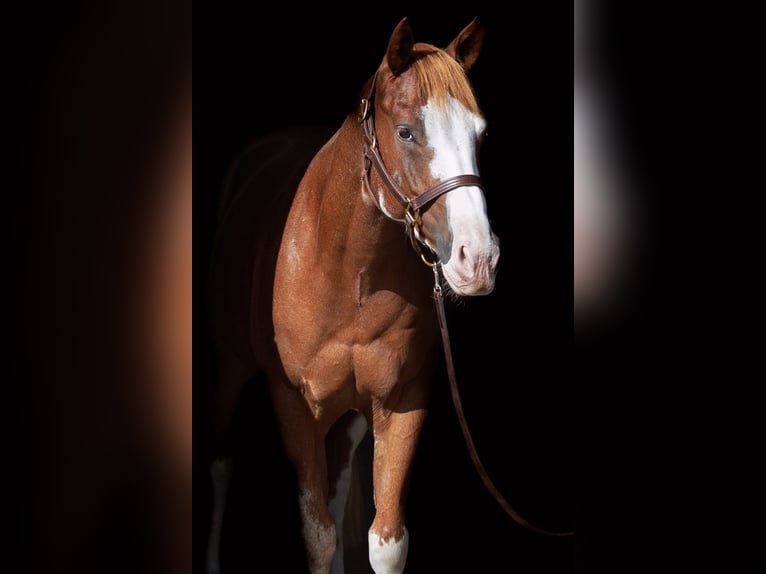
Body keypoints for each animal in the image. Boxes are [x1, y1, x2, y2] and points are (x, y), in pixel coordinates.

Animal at [206, 17, 500, 573]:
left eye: (480, 134)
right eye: (406, 131)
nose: (478, 259)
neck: (349, 277)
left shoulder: (402, 404)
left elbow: (384, 540)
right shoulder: (295, 407)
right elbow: (319, 536)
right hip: (232, 371)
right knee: (221, 462)